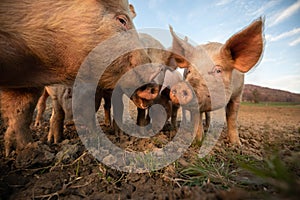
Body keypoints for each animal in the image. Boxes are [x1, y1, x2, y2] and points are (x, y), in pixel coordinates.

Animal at [0, 0, 162, 156]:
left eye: (92, 93)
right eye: (122, 20)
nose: (155, 73)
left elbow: (23, 108)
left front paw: (24, 150)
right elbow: (40, 110)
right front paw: (35, 148)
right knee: (42, 105)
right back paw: (39, 127)